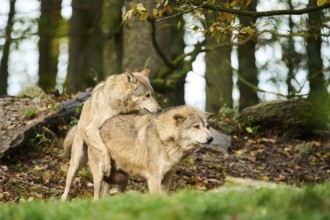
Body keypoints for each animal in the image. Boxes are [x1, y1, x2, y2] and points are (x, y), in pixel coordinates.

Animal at [61, 69, 162, 200]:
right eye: (147, 95)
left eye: (152, 94)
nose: (160, 109)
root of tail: (77, 126)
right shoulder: (91, 129)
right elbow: (104, 149)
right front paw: (107, 163)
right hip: (76, 164)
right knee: (71, 186)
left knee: (104, 191)